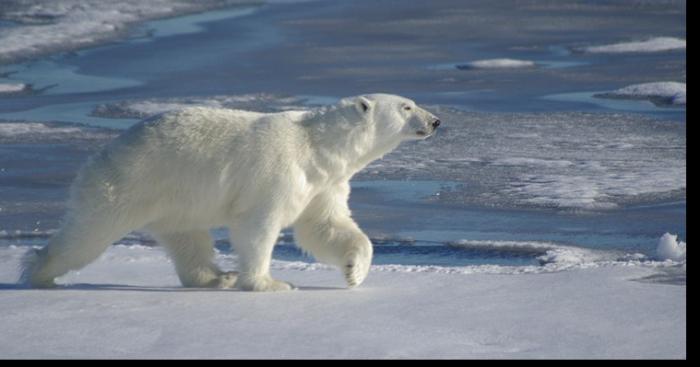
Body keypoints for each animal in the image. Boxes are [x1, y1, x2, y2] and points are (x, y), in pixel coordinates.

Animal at [19, 93, 440, 292]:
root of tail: (101, 153)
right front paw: (270, 283)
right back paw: (38, 273)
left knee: (188, 240)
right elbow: (259, 225)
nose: (436, 120)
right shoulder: (276, 172)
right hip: (126, 184)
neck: (317, 145)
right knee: (86, 236)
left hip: (173, 199)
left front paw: (355, 271)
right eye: (407, 106)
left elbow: (325, 225)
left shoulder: (322, 181)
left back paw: (215, 277)